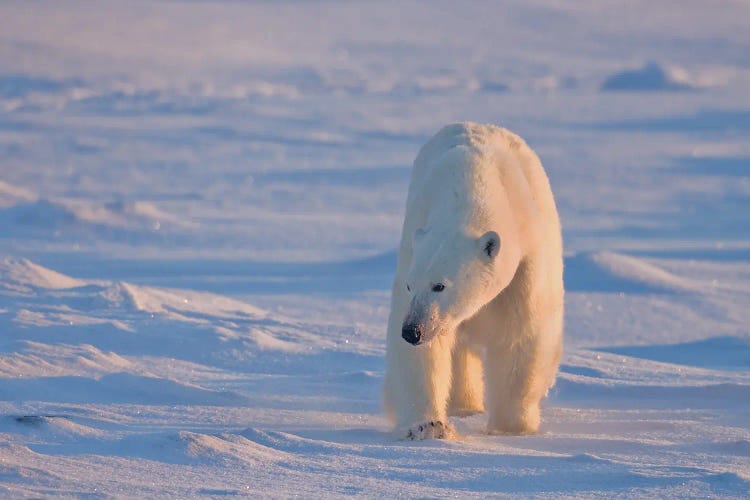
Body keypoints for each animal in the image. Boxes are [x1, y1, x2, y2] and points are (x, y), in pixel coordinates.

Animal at [384, 123, 560, 440]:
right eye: (410, 285)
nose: (412, 331)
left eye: (440, 285)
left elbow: (520, 333)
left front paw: (512, 427)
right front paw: (428, 427)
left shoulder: (525, 264)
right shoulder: (413, 245)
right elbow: (426, 354)